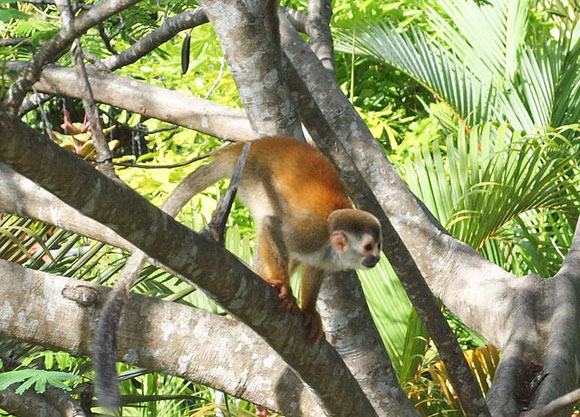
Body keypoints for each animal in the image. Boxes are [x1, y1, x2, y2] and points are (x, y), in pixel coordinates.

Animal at [189, 136, 380, 342]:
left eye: (379, 246)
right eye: (368, 247)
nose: (376, 258)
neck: (329, 244)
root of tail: (247, 146)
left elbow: (314, 268)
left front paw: (309, 311)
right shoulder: (310, 236)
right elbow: (272, 226)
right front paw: (286, 289)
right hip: (254, 177)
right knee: (270, 216)